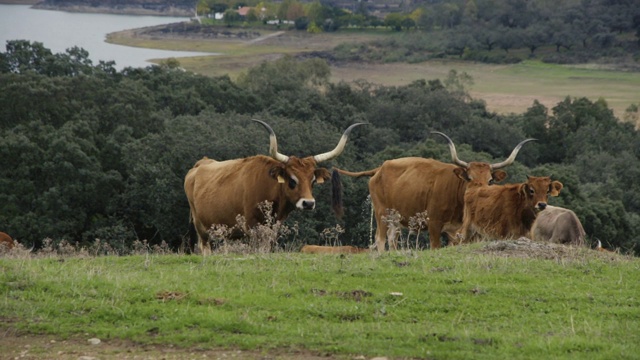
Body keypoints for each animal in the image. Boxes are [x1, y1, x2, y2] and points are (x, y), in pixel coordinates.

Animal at [185, 119, 364, 255]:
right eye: (292, 180)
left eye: (313, 180)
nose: (308, 203)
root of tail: (201, 164)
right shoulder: (253, 226)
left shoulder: (273, 228)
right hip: (201, 227)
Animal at [330, 131, 536, 252]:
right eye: (469, 178)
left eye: (490, 180)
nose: (478, 192)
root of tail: (381, 167)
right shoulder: (435, 225)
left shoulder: (458, 232)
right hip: (382, 213)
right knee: (380, 239)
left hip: (396, 218)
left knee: (391, 237)